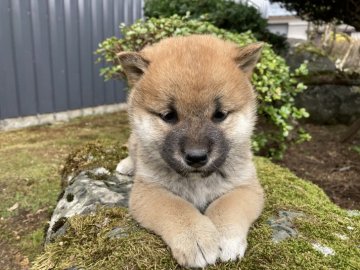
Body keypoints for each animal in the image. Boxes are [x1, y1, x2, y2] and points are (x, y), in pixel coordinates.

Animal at [116, 35, 264, 268]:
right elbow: (177, 208)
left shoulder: (247, 187)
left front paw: (226, 238)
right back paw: (126, 165)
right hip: (134, 142)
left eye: (220, 115)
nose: (196, 157)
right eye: (168, 116)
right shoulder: (148, 190)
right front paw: (196, 238)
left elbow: (227, 206)